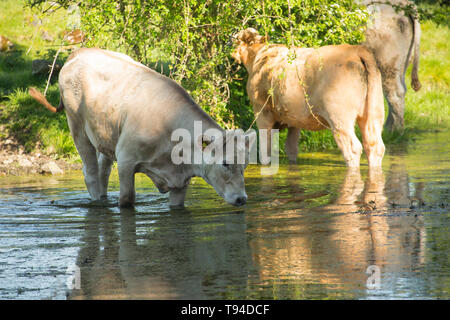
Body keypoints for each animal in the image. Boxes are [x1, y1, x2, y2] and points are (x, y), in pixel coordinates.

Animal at [234, 28, 384, 168]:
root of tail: (355, 49)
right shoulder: (294, 119)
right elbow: (291, 148)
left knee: (352, 148)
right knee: (374, 146)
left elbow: (266, 149)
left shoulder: (261, 111)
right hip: (374, 114)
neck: (259, 58)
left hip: (340, 117)